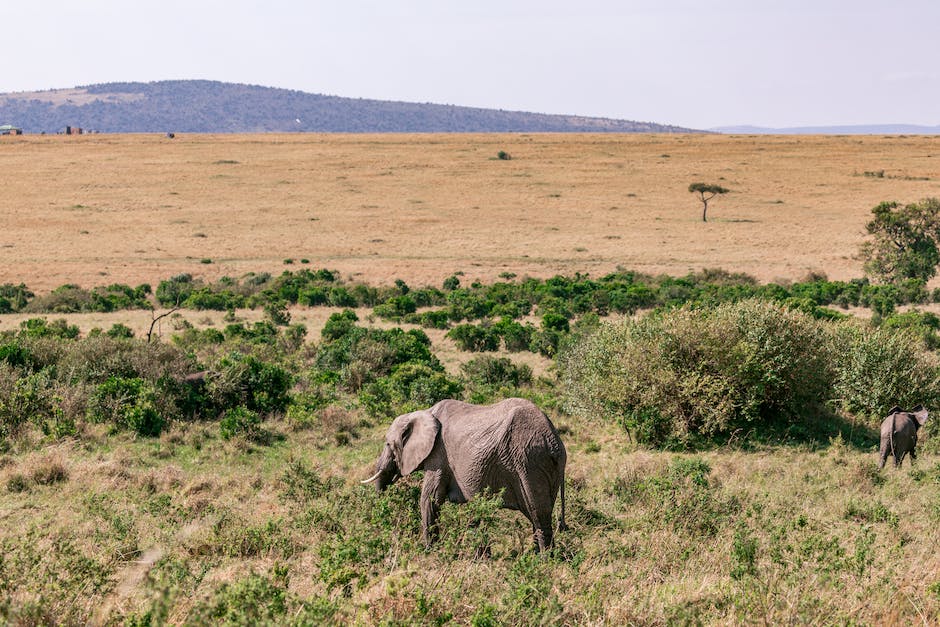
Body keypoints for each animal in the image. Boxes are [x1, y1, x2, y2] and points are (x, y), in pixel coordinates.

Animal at [360, 400, 564, 552]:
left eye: (388, 444)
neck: (424, 412)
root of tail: (554, 442)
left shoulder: (438, 454)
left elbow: (430, 500)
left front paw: (430, 553)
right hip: (542, 467)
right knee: (537, 513)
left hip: (528, 461)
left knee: (538, 514)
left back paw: (543, 561)